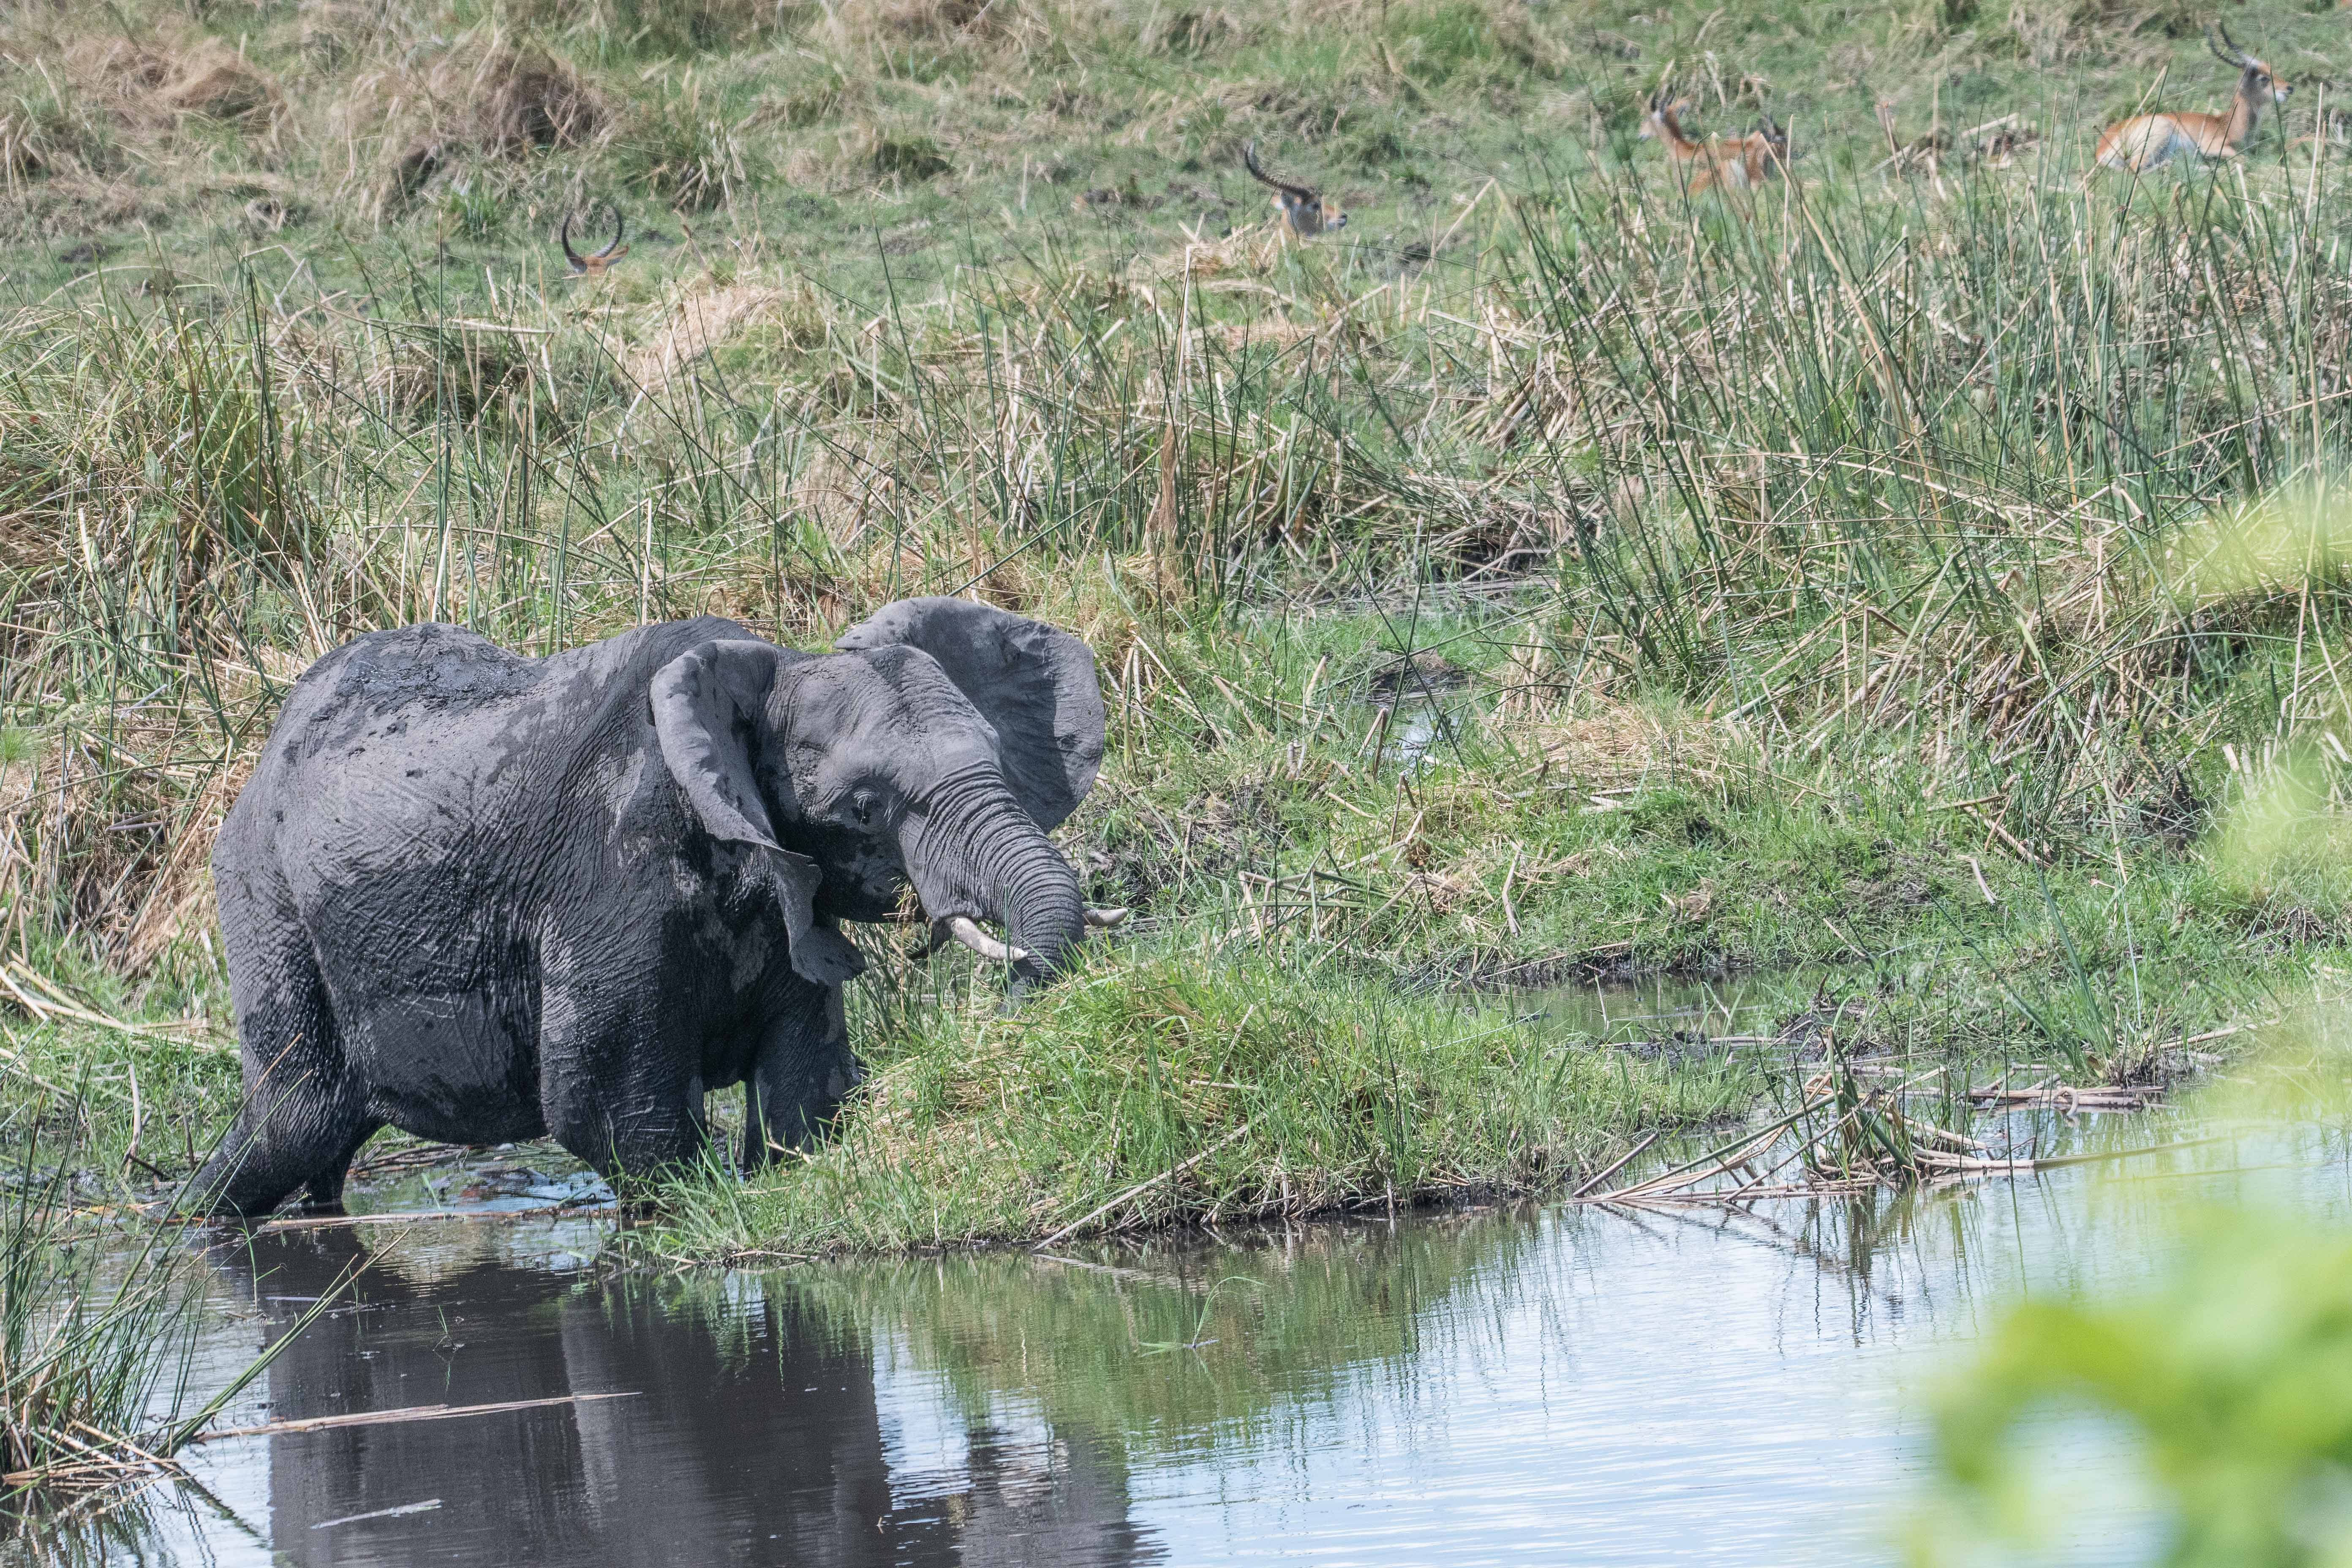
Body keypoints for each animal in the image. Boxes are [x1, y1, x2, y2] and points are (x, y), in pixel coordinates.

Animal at [183, 595, 1119, 1222]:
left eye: (997, 753)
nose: (1014, 998)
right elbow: (600, 1101)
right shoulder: (611, 874)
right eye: (863, 806)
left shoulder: (780, 890)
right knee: (294, 1118)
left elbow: (806, 1086)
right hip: (267, 901)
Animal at [2107, 25, 2286, 173]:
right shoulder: (2211, 147)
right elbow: (2243, 159)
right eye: (2263, 78)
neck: (2228, 124)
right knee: (2135, 169)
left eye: (2271, 69)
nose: (2289, 88)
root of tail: (2105, 143)